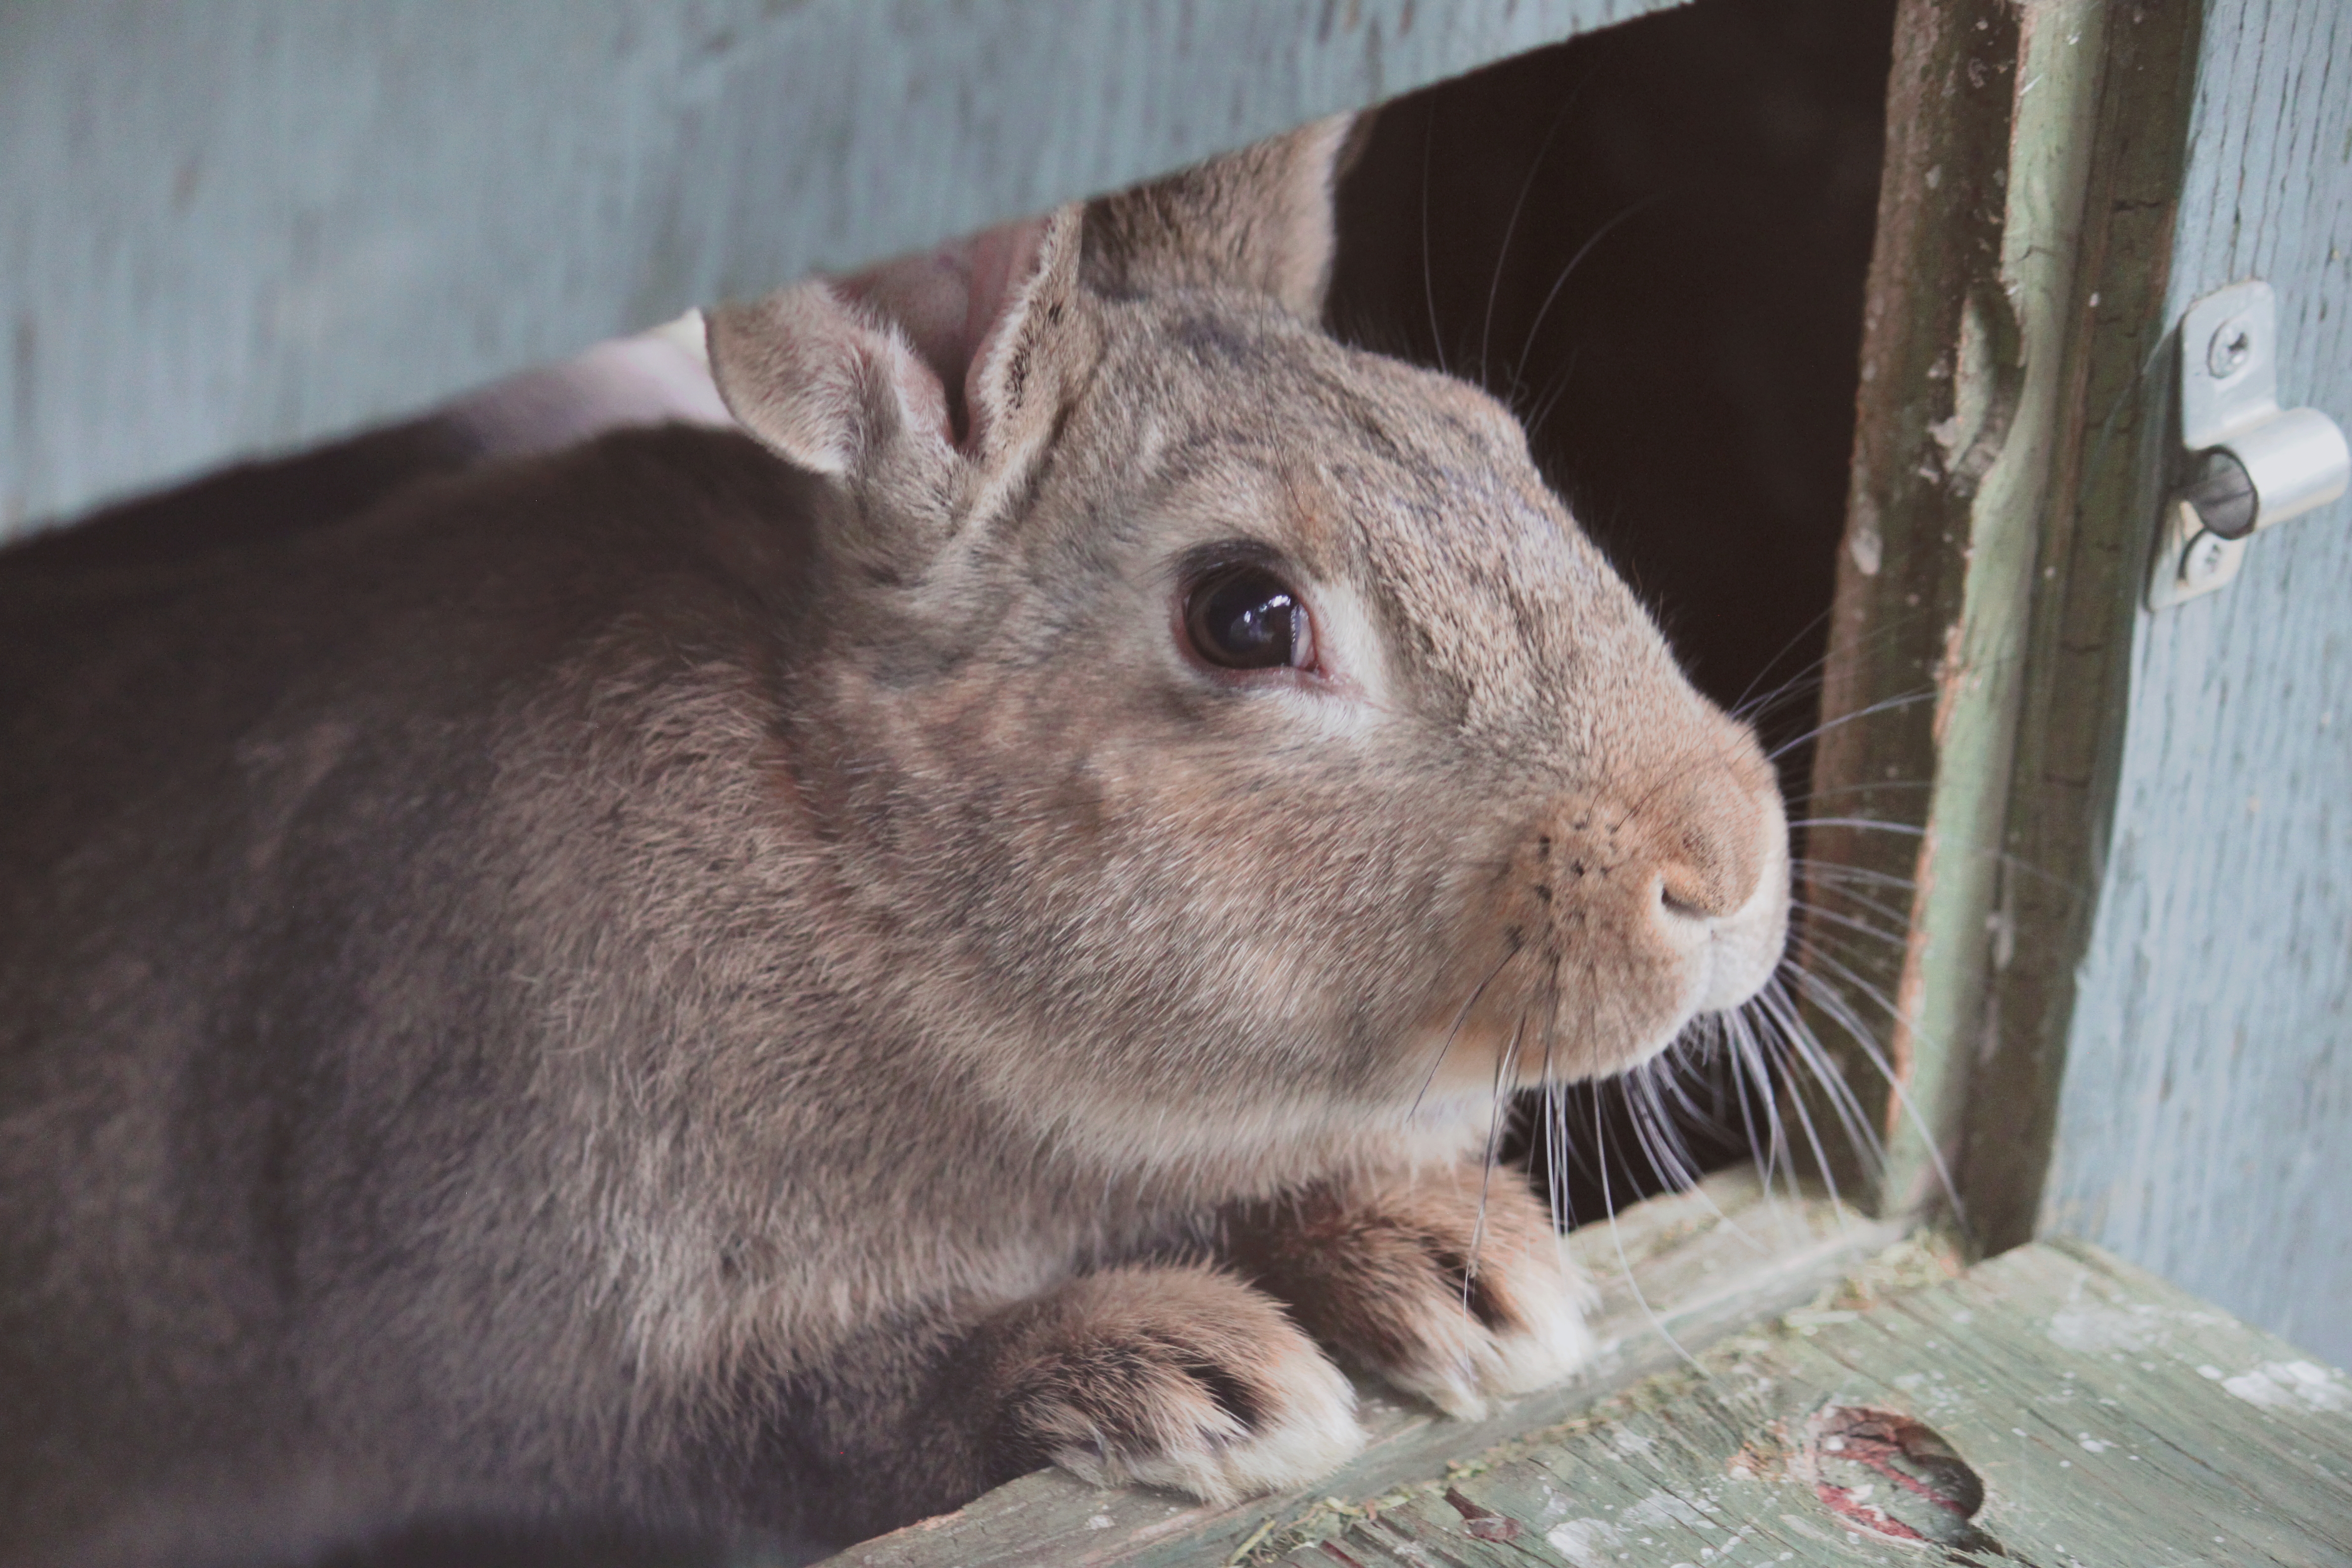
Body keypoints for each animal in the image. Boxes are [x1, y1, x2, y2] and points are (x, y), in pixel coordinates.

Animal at [0, 116, 1789, 1565]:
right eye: (1248, 615)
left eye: (1493, 439)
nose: (1725, 867)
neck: (858, 869)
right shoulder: (518, 1339)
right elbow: (815, 1420)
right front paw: (1192, 1374)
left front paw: (1450, 1270)